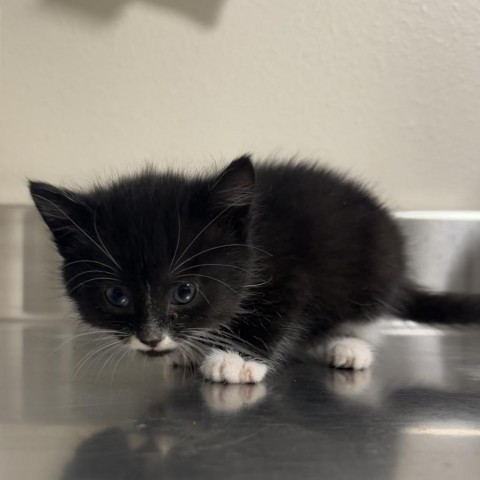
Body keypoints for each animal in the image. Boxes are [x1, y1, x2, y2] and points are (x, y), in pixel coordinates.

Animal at [29, 156, 480, 384]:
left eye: (184, 292)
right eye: (116, 296)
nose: (152, 339)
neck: (253, 238)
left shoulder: (291, 273)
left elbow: (275, 312)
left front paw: (235, 360)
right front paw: (195, 350)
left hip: (377, 262)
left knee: (364, 313)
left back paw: (346, 345)